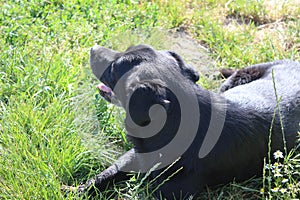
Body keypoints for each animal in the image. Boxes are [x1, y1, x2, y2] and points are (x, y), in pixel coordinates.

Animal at [80, 44, 300, 199]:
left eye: (114, 69)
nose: (93, 48)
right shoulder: (134, 157)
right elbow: (105, 174)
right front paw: (77, 190)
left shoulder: (170, 191)